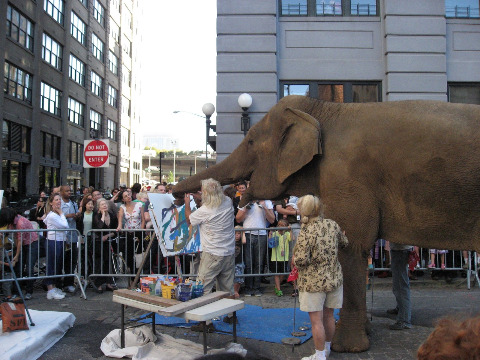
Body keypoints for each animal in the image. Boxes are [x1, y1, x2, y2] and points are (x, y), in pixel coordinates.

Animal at [174, 95, 480, 352]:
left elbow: (350, 247)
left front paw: (346, 347)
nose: (179, 196)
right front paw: (363, 333)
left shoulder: (346, 175)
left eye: (250, 141)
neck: (322, 109)